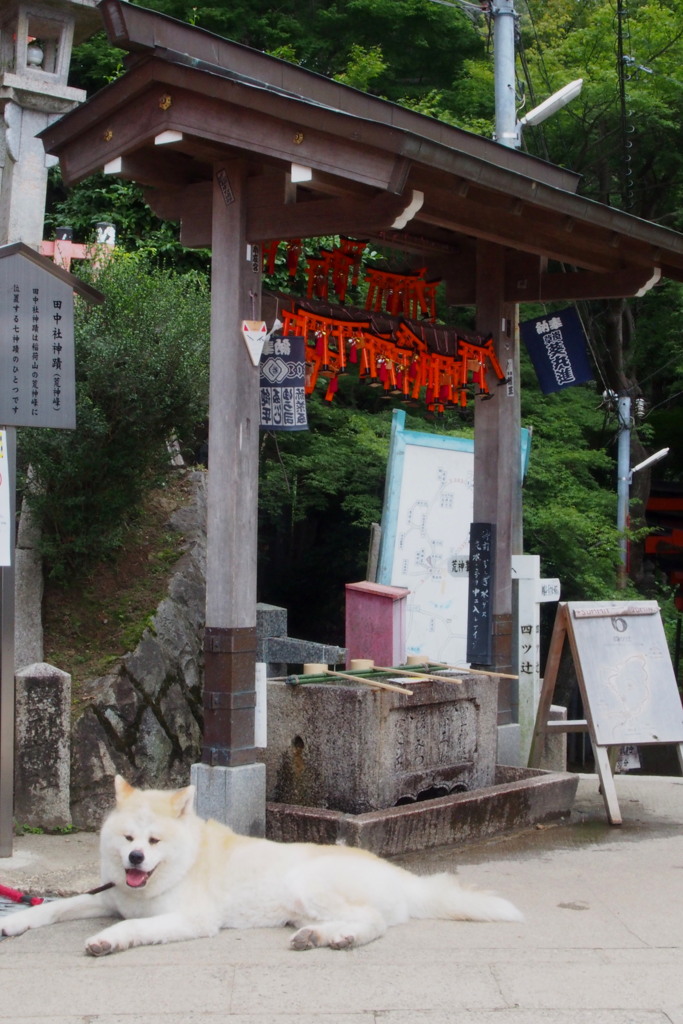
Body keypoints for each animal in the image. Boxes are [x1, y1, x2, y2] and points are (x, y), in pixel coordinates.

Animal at [2, 778, 524, 954]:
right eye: (128, 839)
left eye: (153, 841)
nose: (134, 859)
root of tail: (399, 875)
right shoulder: (111, 898)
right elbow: (53, 908)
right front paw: (17, 921)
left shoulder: (191, 919)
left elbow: (132, 929)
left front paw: (107, 941)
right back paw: (318, 935)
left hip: (309, 882)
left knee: (373, 923)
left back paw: (339, 938)